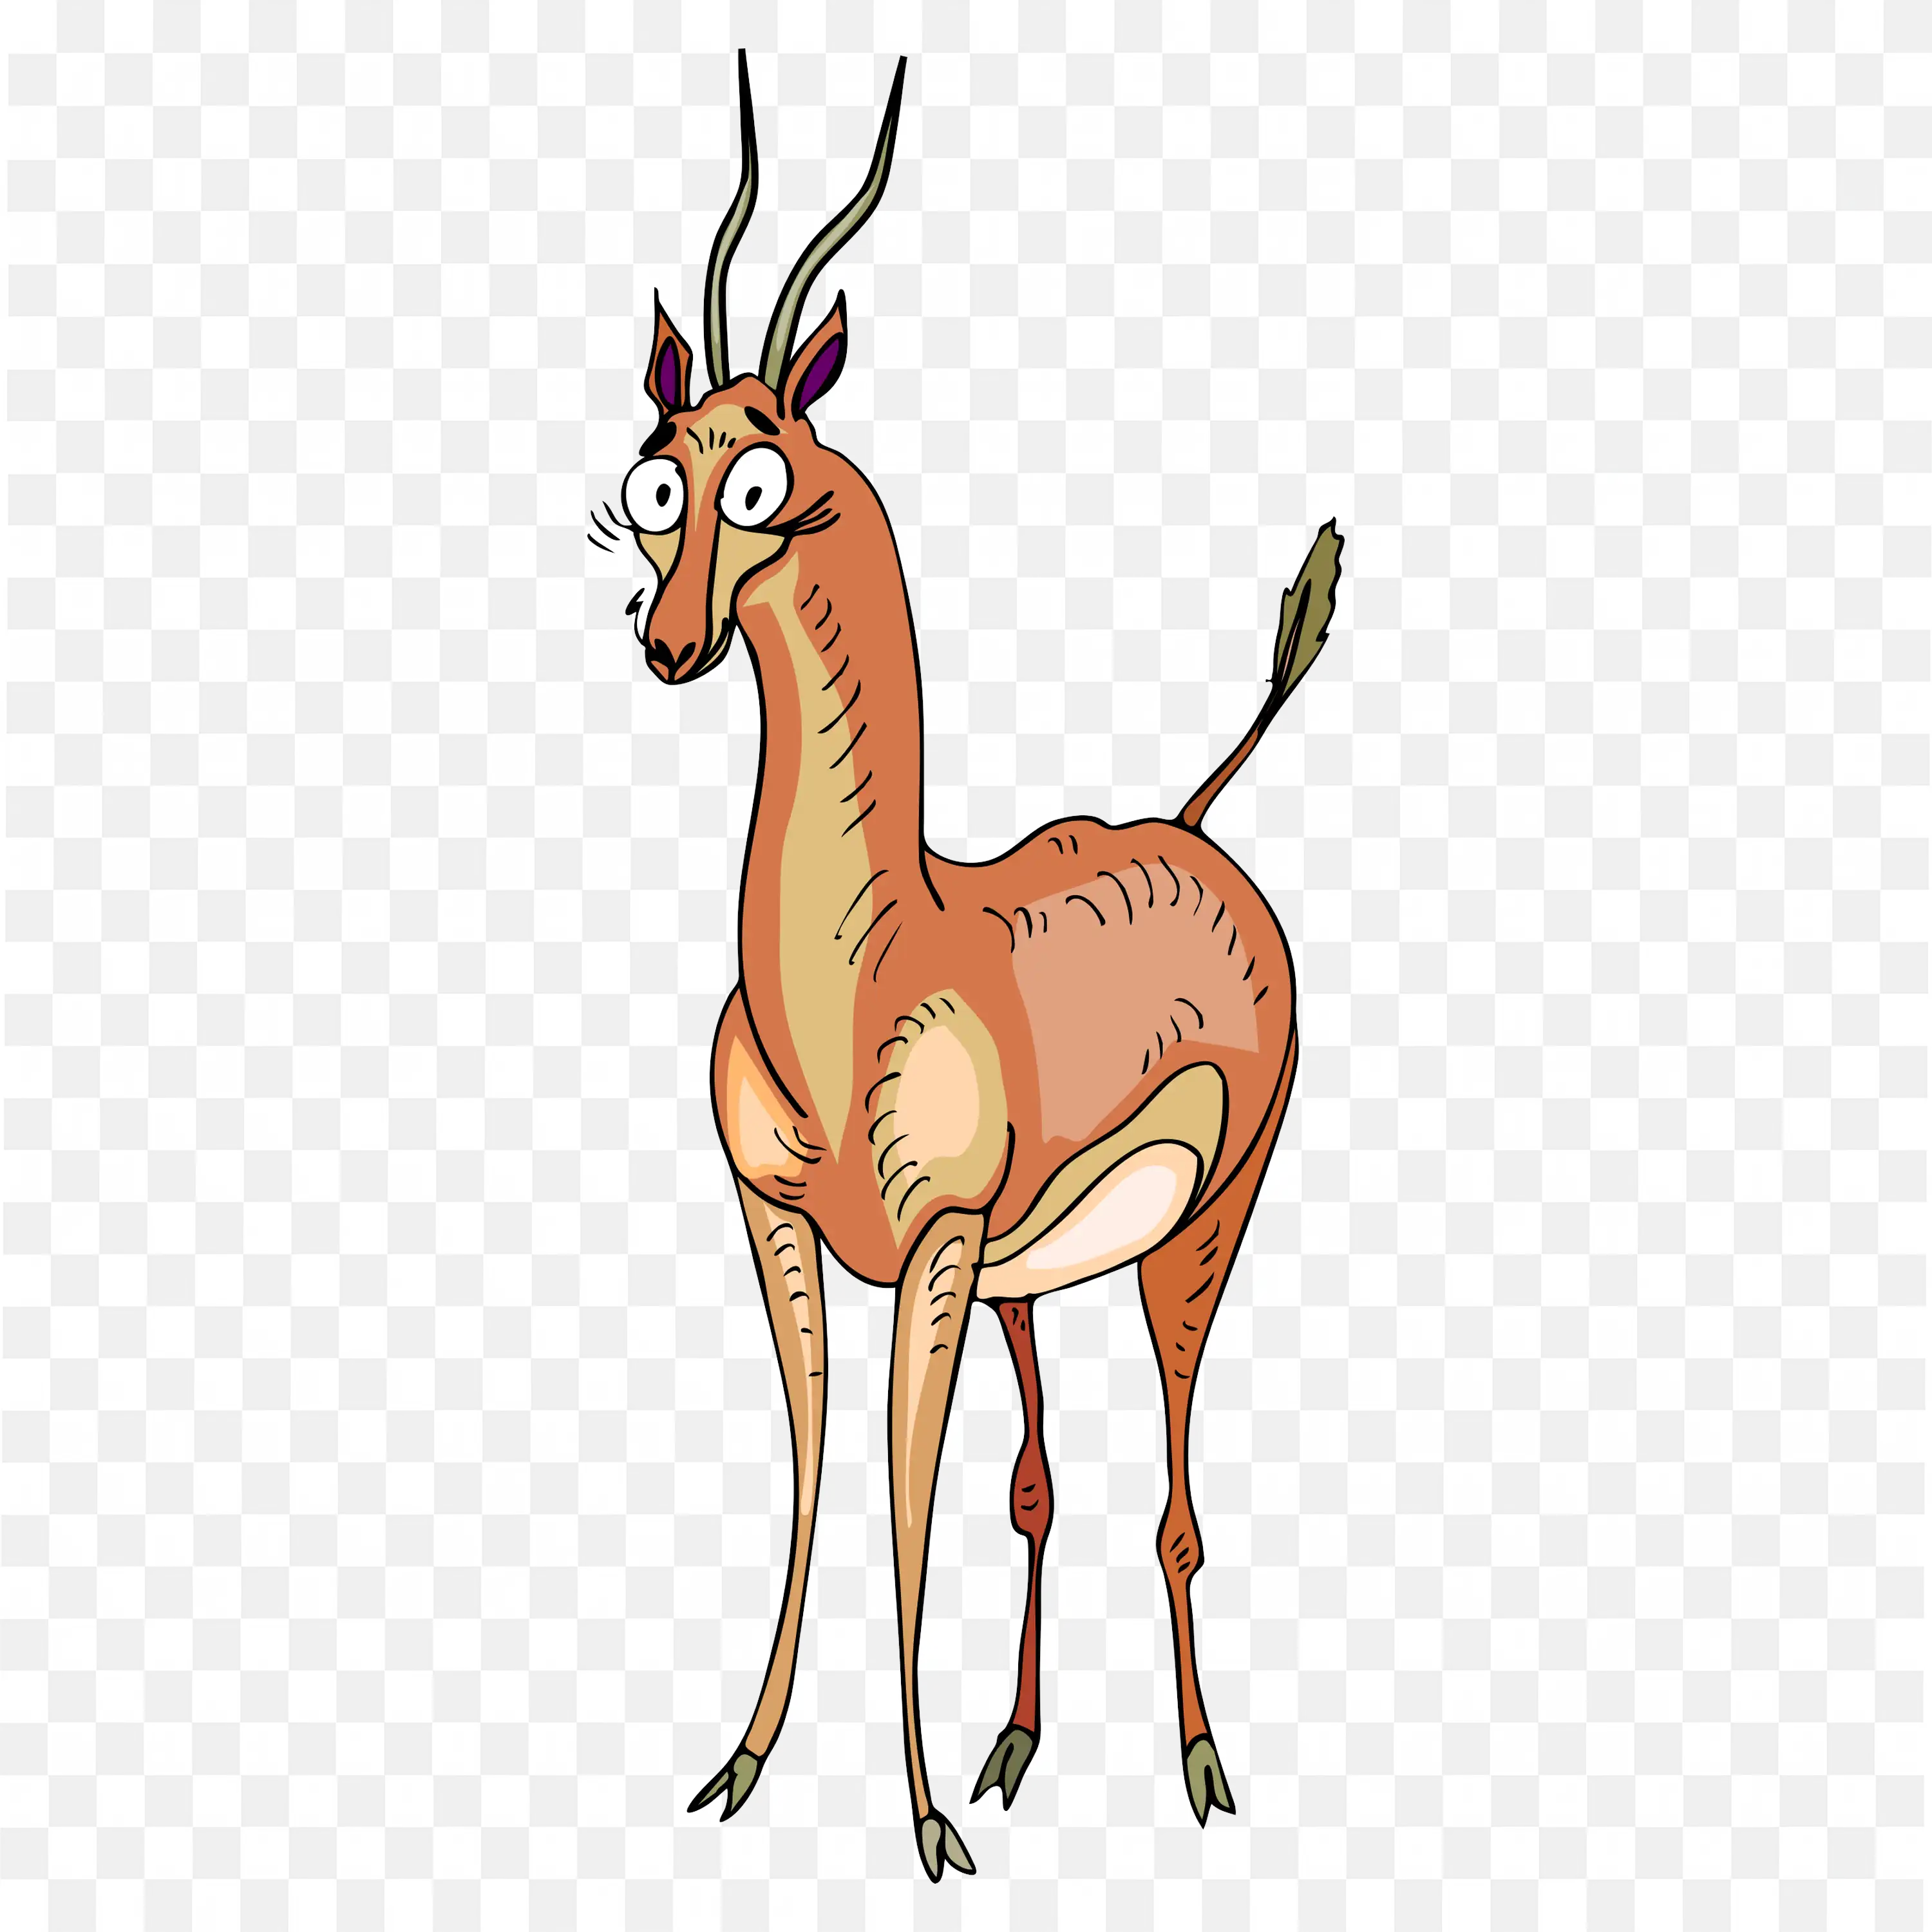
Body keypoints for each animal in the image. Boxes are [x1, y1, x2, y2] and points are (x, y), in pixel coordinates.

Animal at [597, 52, 1343, 1881]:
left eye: (760, 481)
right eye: (656, 474)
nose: (670, 644)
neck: (866, 968)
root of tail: (1195, 826)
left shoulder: (932, 1243)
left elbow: (902, 1498)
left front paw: (924, 1820)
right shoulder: (782, 1219)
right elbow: (820, 1482)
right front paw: (745, 1764)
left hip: (1193, 1232)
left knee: (1173, 1501)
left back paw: (1199, 1764)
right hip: (1026, 1276)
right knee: (1039, 1485)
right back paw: (1018, 1743)